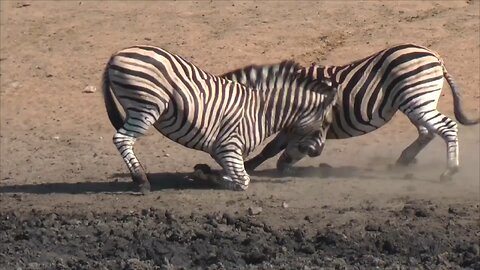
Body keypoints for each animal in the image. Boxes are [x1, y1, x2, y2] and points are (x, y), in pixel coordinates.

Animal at [102, 45, 338, 193]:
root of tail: (116, 54)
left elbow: (232, 173)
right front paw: (205, 175)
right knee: (122, 139)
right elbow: (243, 180)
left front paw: (206, 172)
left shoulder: (221, 150)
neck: (261, 111)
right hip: (146, 107)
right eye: (326, 124)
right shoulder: (229, 146)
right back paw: (141, 181)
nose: (318, 152)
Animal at [223, 43, 478, 180]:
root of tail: (435, 55)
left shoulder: (297, 124)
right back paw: (403, 161)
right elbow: (275, 148)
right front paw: (272, 164)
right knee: (428, 131)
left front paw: (253, 165)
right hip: (415, 101)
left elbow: (273, 147)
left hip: (416, 98)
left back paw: (450, 171)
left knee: (445, 127)